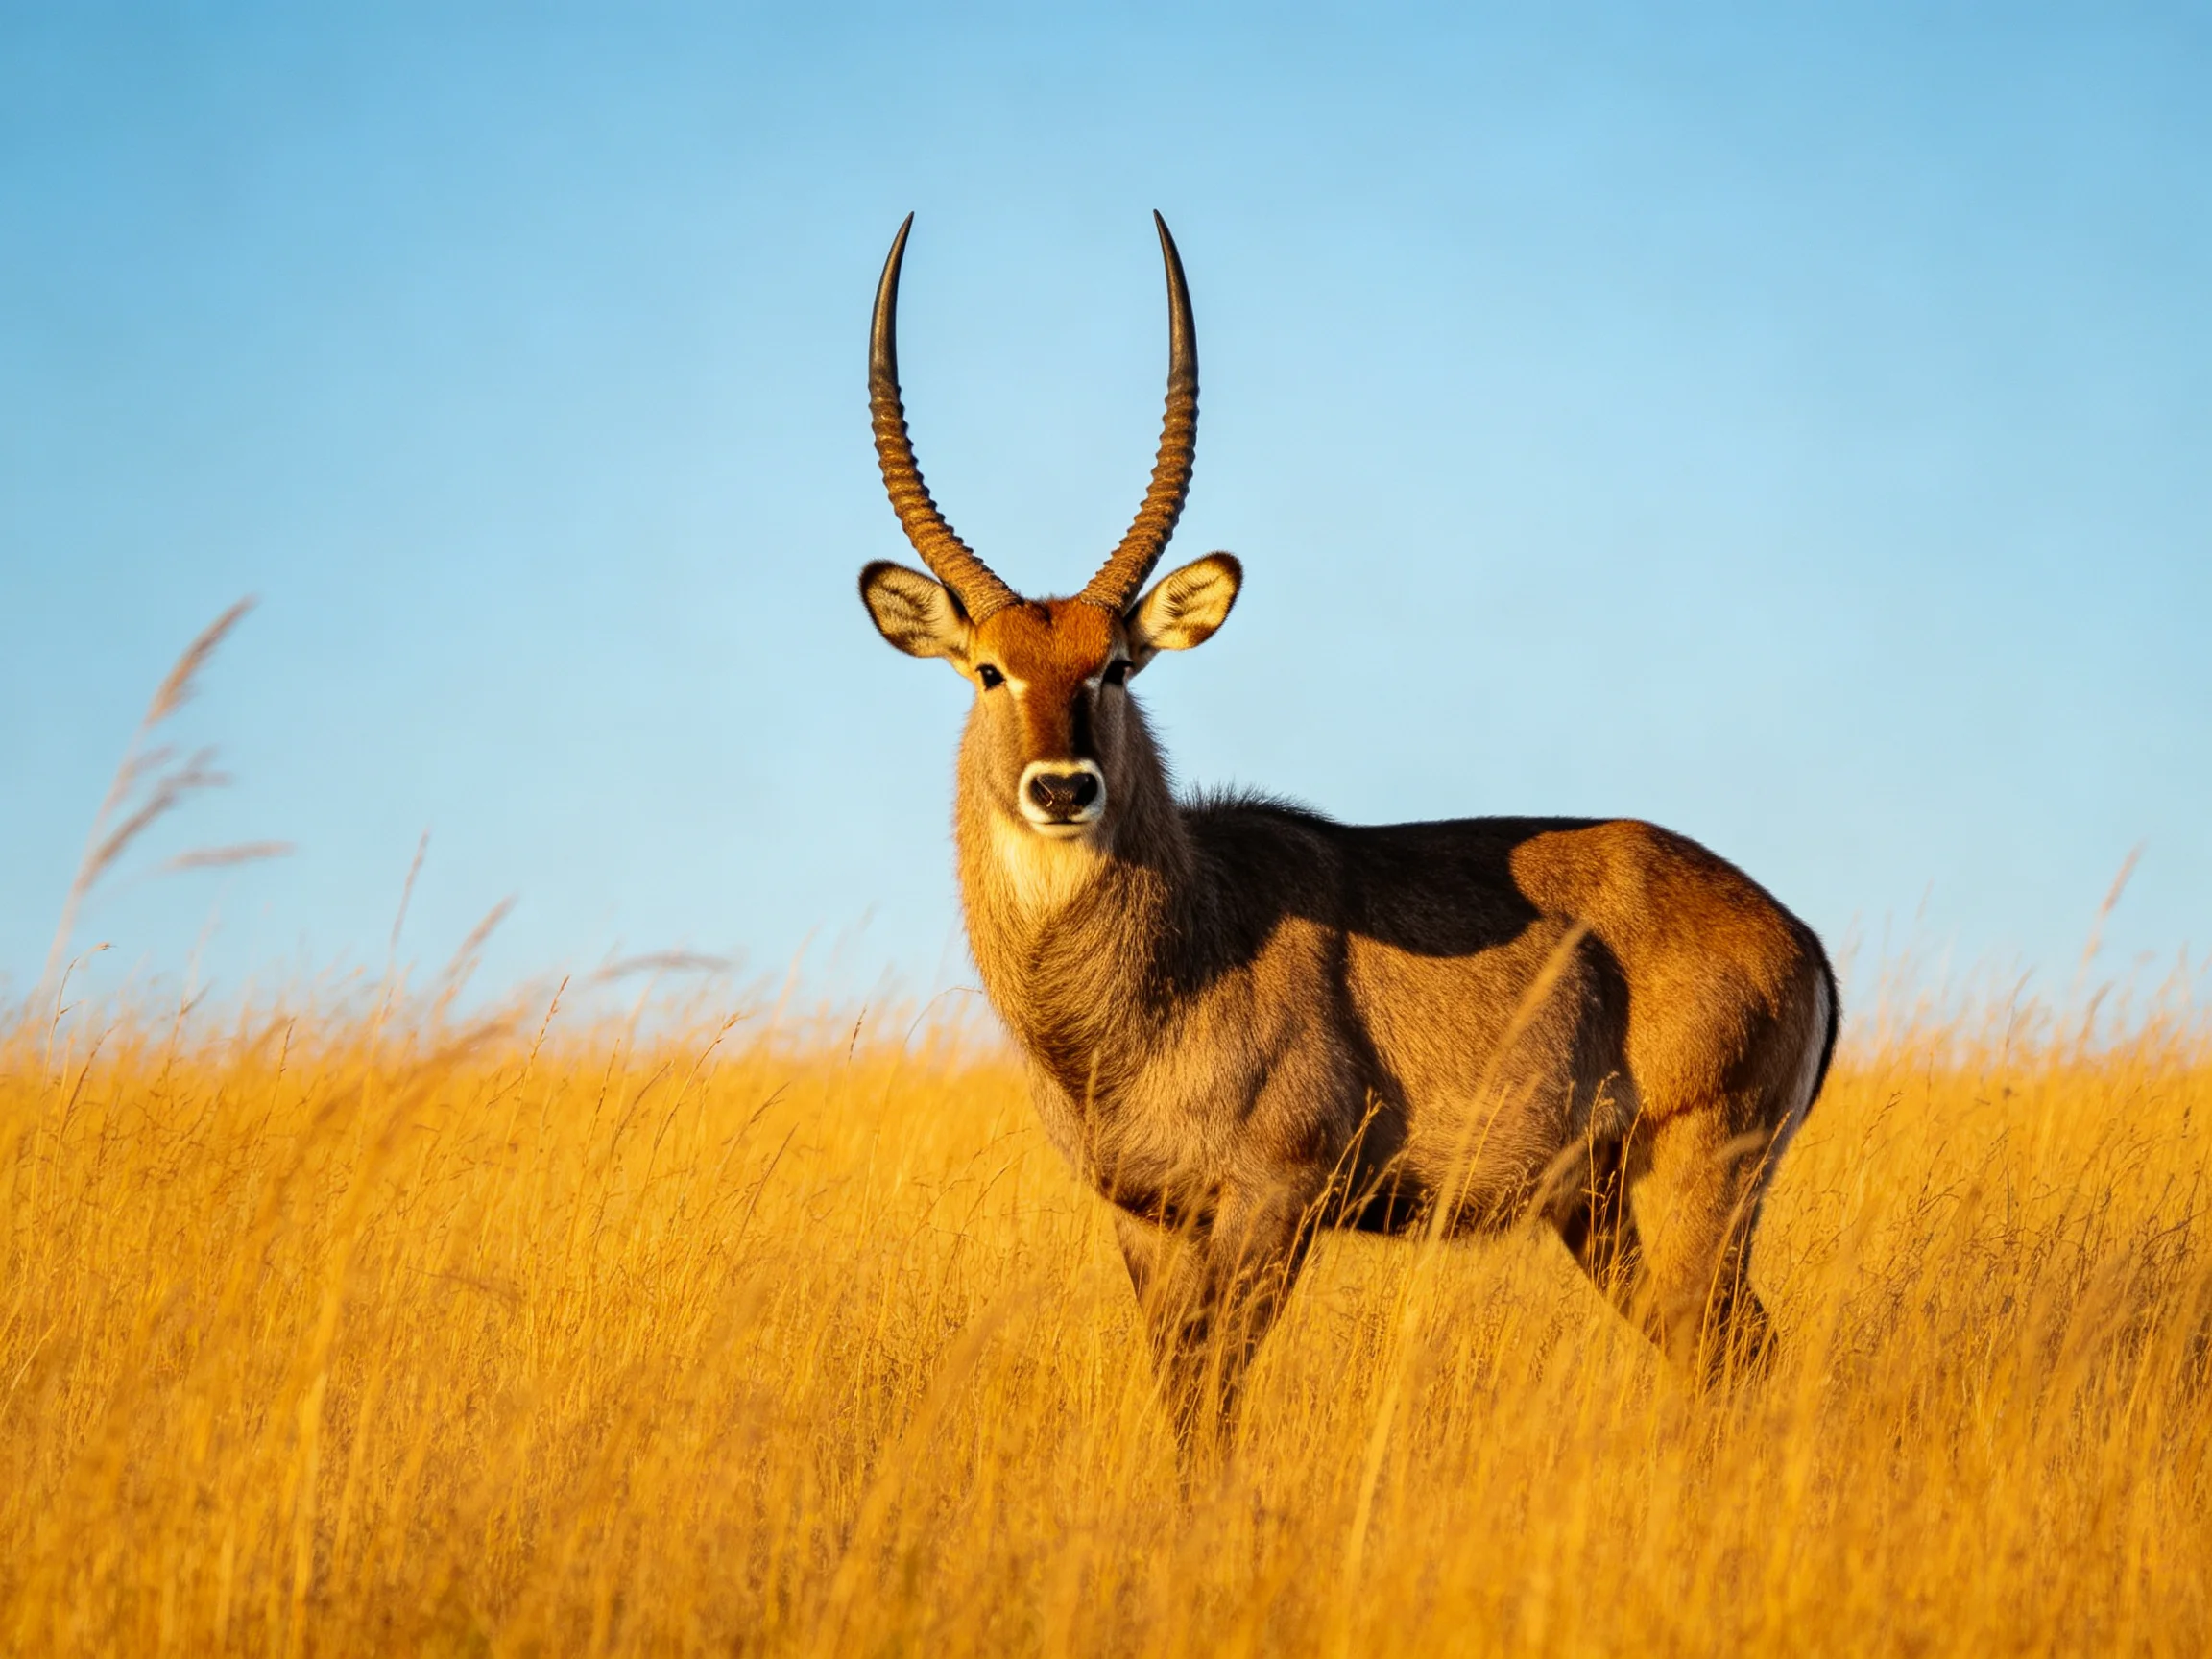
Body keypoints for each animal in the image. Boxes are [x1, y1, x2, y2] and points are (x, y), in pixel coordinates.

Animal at [857, 213, 1838, 1447]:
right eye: (990, 669)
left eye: (1116, 665)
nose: (1063, 789)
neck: (1173, 959)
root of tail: (1795, 934)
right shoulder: (1146, 1218)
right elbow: (1183, 1397)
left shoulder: (1275, 1201)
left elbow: (1217, 1400)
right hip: (1605, 1210)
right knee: (1722, 1355)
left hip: (1699, 1180)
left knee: (1738, 1352)